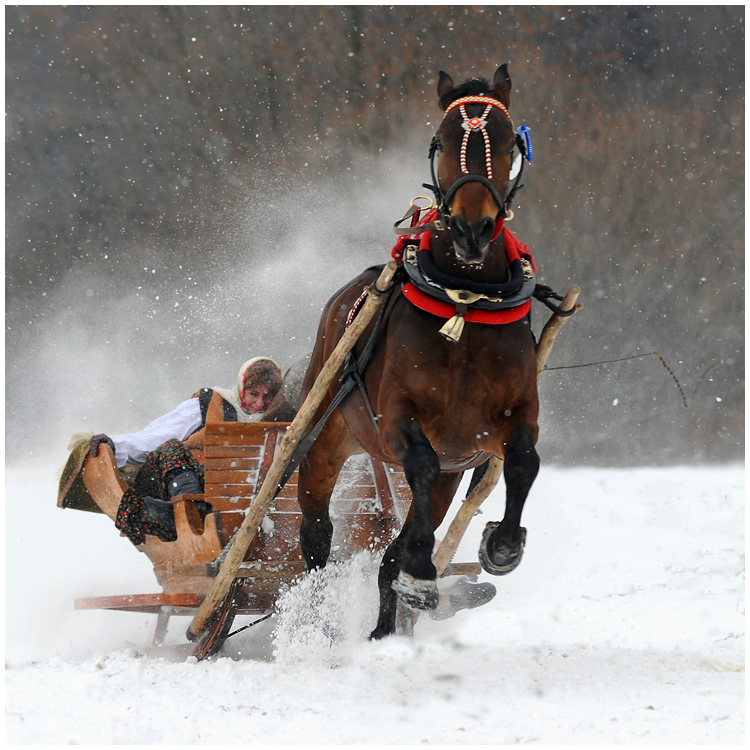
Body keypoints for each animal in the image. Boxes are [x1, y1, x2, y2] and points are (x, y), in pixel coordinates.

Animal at [298, 66, 540, 640]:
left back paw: (387, 621)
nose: (473, 227)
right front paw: (423, 572)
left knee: (396, 543)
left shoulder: (502, 420)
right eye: (443, 140)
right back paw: (322, 620)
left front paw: (501, 544)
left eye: (507, 142)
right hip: (324, 435)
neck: (466, 302)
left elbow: (524, 459)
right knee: (315, 532)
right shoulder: (398, 417)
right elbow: (423, 464)